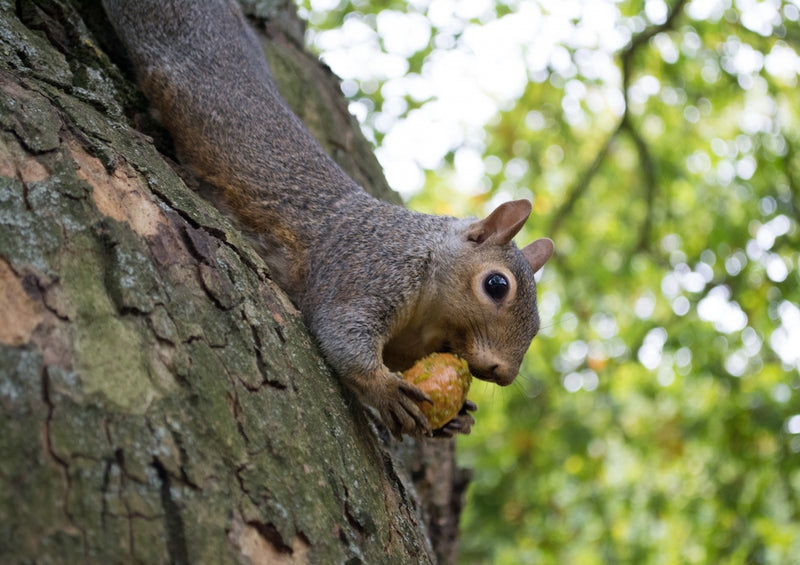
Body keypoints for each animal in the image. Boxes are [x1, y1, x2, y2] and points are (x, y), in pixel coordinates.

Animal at [100, 0, 552, 438]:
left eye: (538, 324)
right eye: (496, 285)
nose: (504, 373)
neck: (429, 313)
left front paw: (458, 419)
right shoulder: (366, 268)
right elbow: (341, 332)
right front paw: (384, 390)